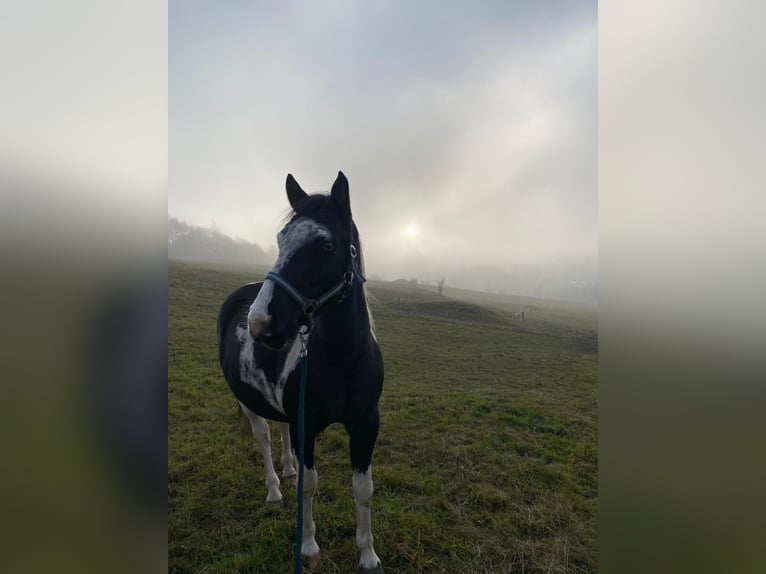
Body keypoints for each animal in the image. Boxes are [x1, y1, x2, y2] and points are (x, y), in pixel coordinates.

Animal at [217, 172, 385, 573]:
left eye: (326, 245)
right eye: (281, 239)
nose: (260, 323)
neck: (343, 359)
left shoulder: (365, 424)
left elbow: (364, 489)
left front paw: (368, 555)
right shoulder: (305, 424)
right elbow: (308, 486)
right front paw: (307, 547)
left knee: (279, 432)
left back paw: (287, 469)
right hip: (248, 403)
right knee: (263, 437)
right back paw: (274, 489)